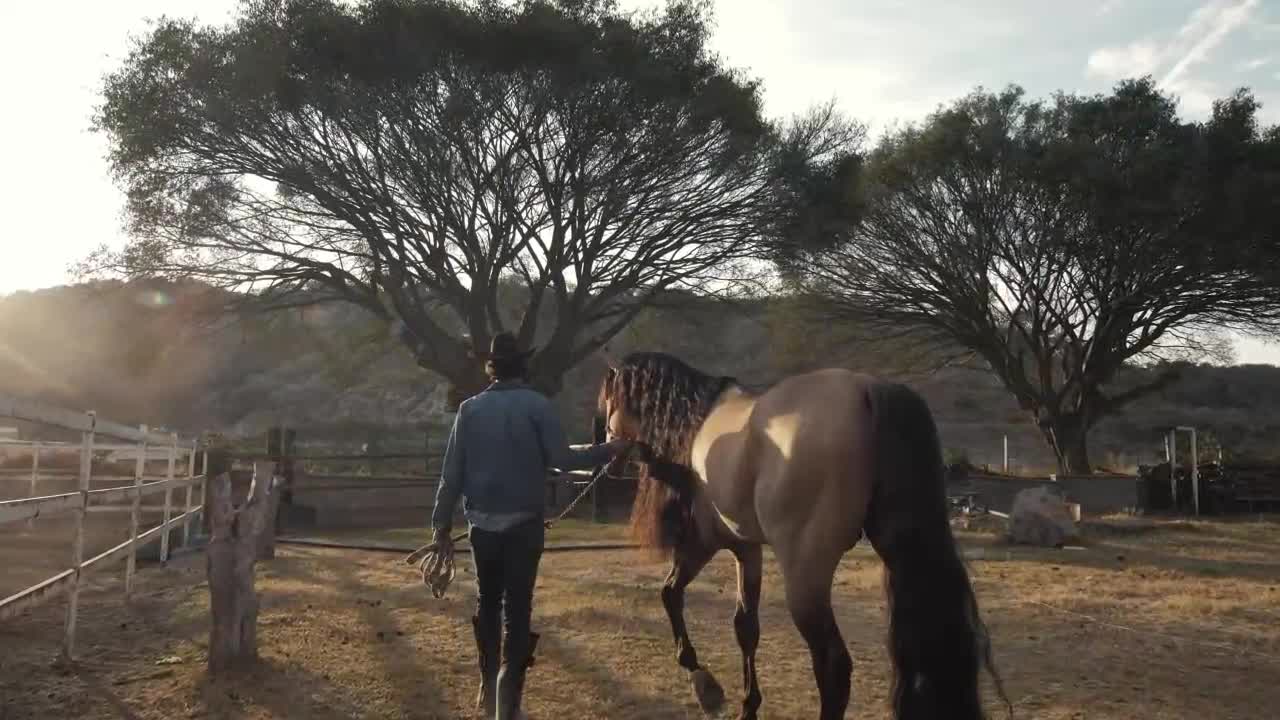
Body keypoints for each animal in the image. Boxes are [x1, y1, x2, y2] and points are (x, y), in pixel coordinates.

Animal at [599, 351, 1008, 717]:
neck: (697, 422)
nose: (608, 458)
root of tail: (869, 391)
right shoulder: (747, 548)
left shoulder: (704, 541)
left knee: (833, 666)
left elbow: (670, 594)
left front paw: (705, 685)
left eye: (607, 403)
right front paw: (748, 705)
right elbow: (745, 626)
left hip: (805, 577)